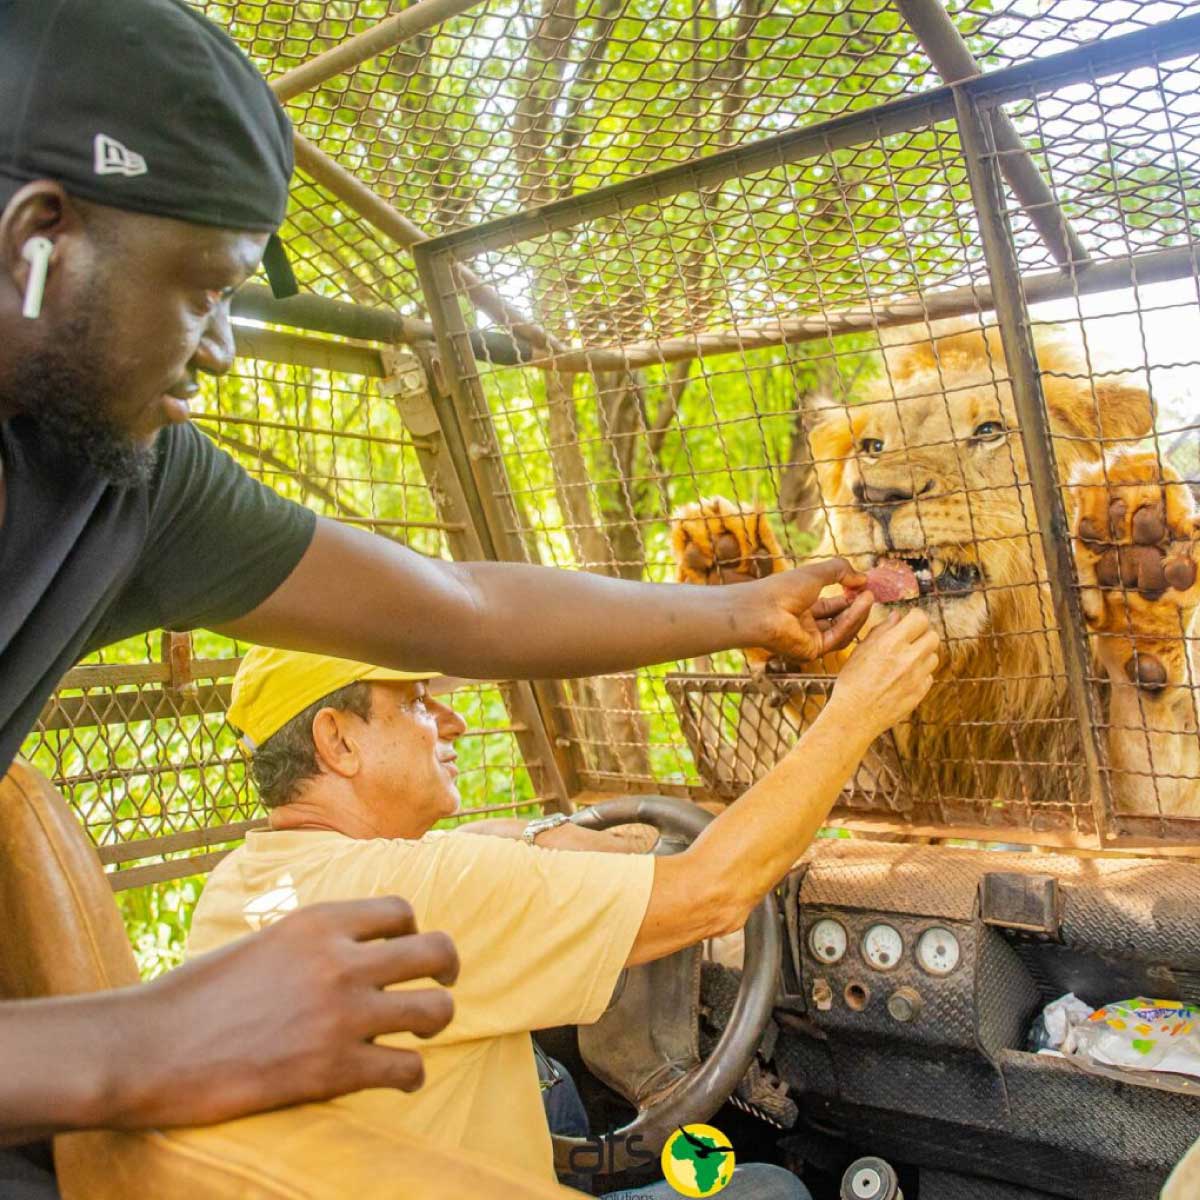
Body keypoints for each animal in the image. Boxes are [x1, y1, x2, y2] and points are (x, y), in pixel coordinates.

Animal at [672, 324, 1195, 820]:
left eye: (988, 430)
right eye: (872, 446)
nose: (877, 496)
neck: (978, 670)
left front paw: (1137, 569)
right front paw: (734, 562)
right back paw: (733, 569)